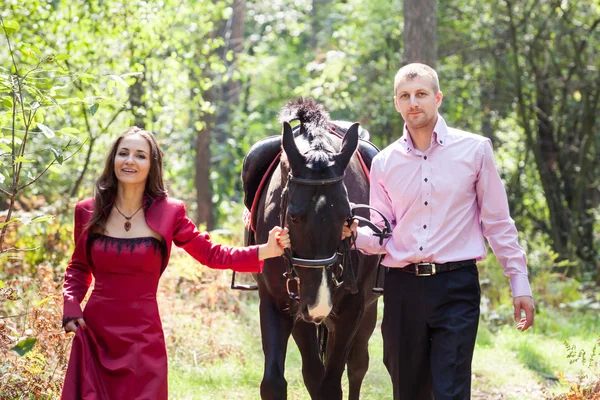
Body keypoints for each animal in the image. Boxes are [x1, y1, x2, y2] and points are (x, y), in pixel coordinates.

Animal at [246, 98, 382, 398]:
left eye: (346, 216)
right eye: (294, 216)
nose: (319, 303)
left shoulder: (352, 308)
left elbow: (331, 385)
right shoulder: (277, 302)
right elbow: (275, 382)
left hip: (364, 312)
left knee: (357, 366)